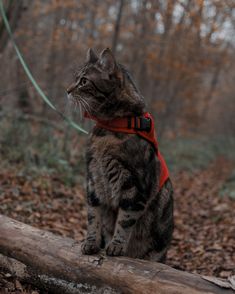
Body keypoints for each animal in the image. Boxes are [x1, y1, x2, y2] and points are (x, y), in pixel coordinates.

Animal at [67, 48, 173, 262]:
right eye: (75, 79)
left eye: (83, 81)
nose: (67, 90)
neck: (109, 128)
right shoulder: (93, 181)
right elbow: (93, 216)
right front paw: (91, 242)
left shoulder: (135, 186)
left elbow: (125, 220)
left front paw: (116, 245)